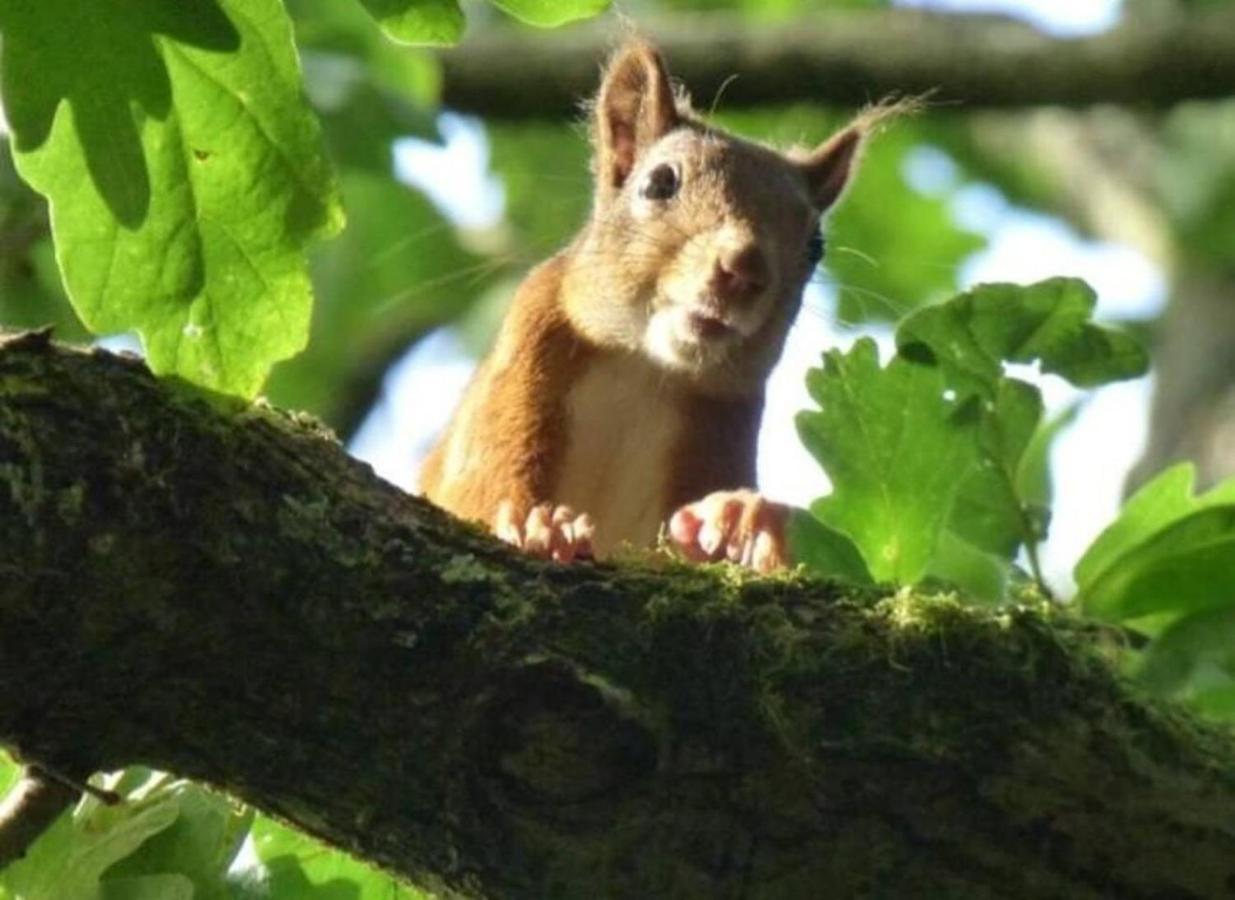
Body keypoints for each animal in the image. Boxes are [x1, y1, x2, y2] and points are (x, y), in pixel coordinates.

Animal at [422, 38, 879, 572]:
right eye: (659, 182)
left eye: (816, 245)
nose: (743, 267)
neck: (640, 368)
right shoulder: (522, 356)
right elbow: (473, 490)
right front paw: (538, 523)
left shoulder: (722, 424)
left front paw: (749, 518)